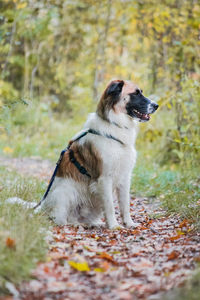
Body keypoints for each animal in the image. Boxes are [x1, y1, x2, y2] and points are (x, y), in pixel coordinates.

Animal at [41, 78, 159, 229]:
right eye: (136, 94)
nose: (156, 105)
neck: (115, 125)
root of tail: (42, 207)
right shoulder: (104, 179)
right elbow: (110, 206)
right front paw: (114, 226)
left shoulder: (125, 177)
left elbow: (125, 204)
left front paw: (129, 223)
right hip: (65, 192)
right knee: (60, 218)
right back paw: (74, 224)